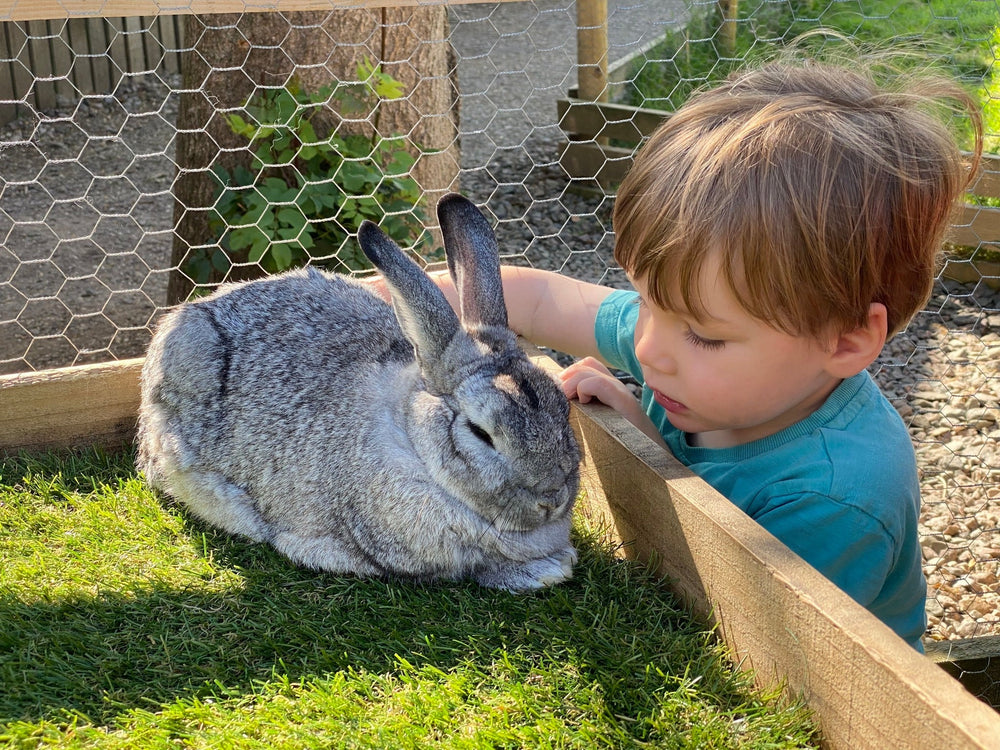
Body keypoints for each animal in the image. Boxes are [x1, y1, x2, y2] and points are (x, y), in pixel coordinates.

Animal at [137, 193, 580, 590]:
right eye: (480, 433)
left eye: (564, 410)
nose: (551, 499)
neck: (413, 441)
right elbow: (475, 570)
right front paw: (548, 570)